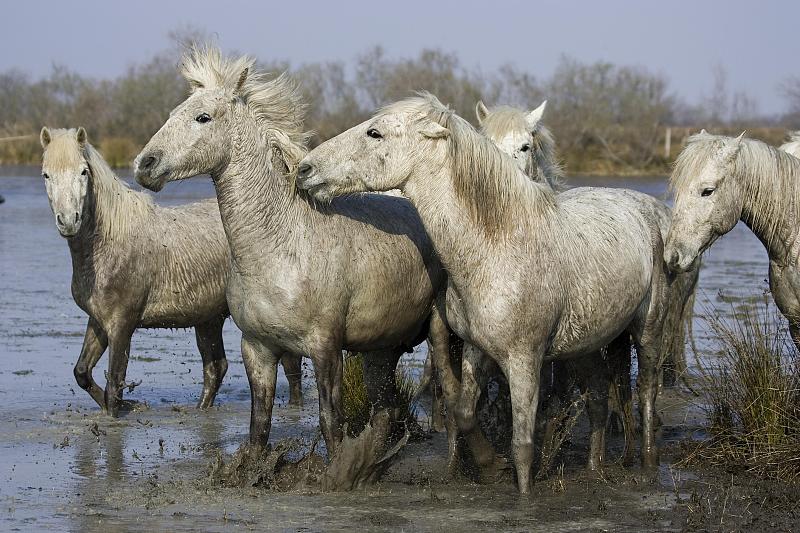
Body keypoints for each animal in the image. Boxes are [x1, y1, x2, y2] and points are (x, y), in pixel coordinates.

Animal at [296, 94, 672, 490]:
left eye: (374, 133)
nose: (304, 169)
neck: (497, 245)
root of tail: (643, 210)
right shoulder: (476, 350)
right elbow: (463, 413)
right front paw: (490, 465)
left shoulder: (524, 361)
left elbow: (522, 444)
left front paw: (522, 492)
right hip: (586, 343)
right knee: (599, 395)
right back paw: (594, 467)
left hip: (647, 332)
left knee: (646, 392)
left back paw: (648, 465)